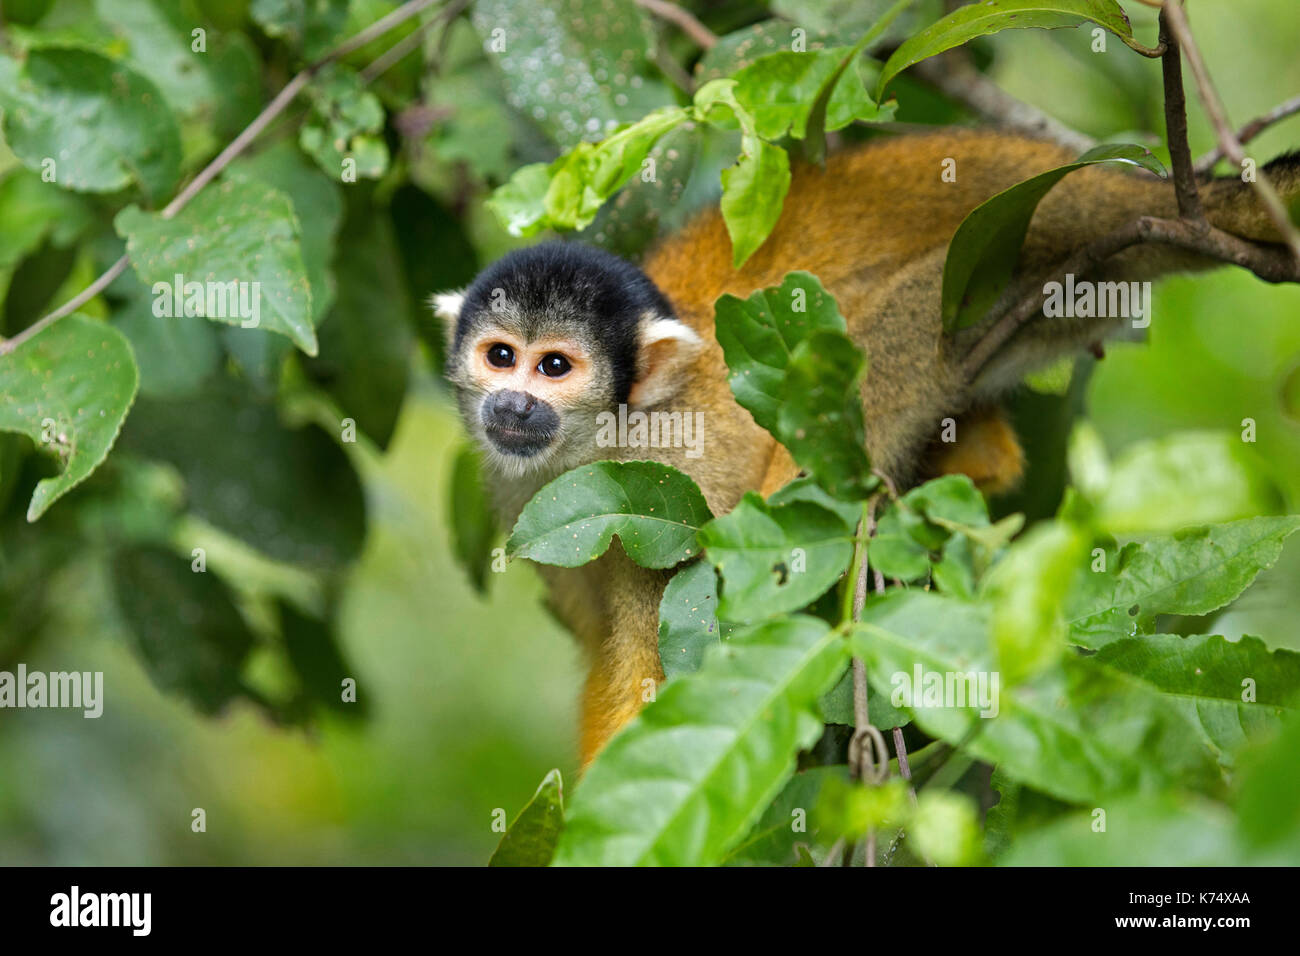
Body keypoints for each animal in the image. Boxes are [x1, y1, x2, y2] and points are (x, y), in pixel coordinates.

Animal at [434, 129, 1300, 768]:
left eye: (555, 367)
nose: (513, 403)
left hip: (1013, 266)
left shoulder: (663, 472)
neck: (595, 441)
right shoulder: (527, 499)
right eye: (501, 357)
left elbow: (656, 661)